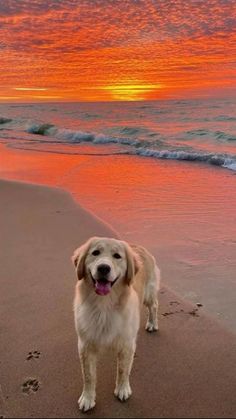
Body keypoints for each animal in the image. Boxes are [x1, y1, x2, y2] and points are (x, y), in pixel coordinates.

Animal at [72, 238, 160, 412]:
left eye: (117, 256)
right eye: (95, 253)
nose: (103, 268)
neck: (103, 306)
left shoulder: (127, 344)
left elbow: (123, 370)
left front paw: (122, 389)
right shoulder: (85, 345)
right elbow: (88, 376)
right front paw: (87, 398)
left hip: (148, 294)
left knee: (154, 305)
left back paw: (152, 324)